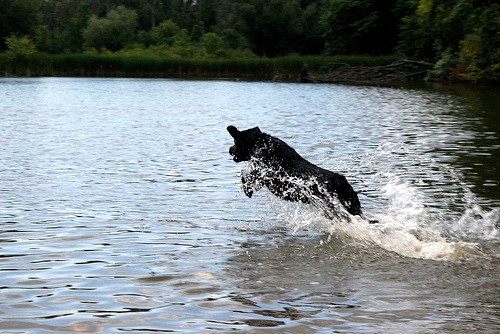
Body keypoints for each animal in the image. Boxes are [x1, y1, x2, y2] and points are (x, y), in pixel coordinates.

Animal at [228, 126, 364, 219]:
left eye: (235, 142)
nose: (229, 149)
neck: (263, 145)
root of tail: (342, 181)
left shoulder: (263, 175)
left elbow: (245, 177)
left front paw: (247, 190)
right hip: (352, 206)